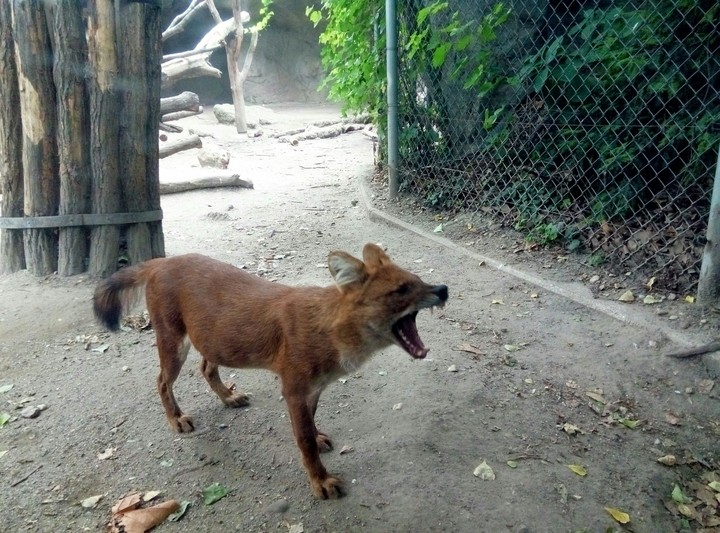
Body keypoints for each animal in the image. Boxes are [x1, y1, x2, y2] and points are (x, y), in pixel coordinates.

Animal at [92, 243, 448, 499]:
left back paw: (229, 398)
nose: (443, 289)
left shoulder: (313, 390)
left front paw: (318, 437)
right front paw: (320, 481)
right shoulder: (293, 390)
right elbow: (303, 440)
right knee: (162, 382)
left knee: (206, 367)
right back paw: (176, 418)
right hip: (174, 343)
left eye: (418, 280)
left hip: (215, 341)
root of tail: (160, 261)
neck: (329, 330)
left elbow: (311, 425)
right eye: (401, 289)